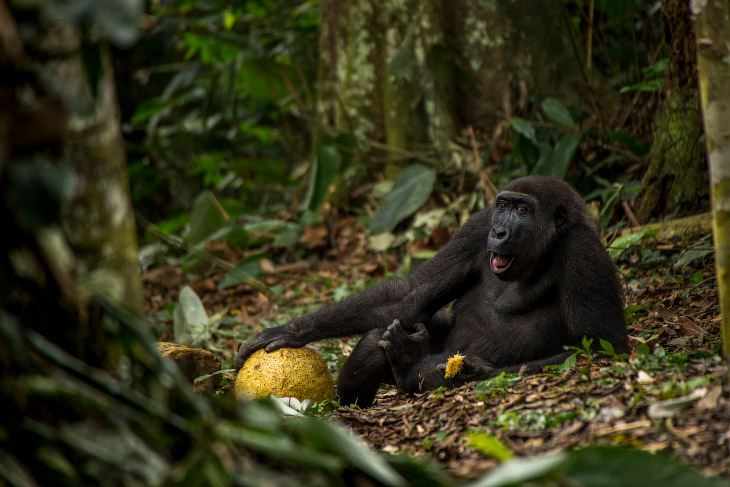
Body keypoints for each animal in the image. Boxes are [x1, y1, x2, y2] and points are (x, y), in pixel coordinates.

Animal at [233, 175, 624, 408]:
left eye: (523, 210)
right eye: (503, 206)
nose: (499, 232)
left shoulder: (582, 251)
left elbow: (599, 348)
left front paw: (475, 372)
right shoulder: (477, 225)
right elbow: (411, 295)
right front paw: (292, 331)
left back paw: (408, 365)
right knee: (383, 331)